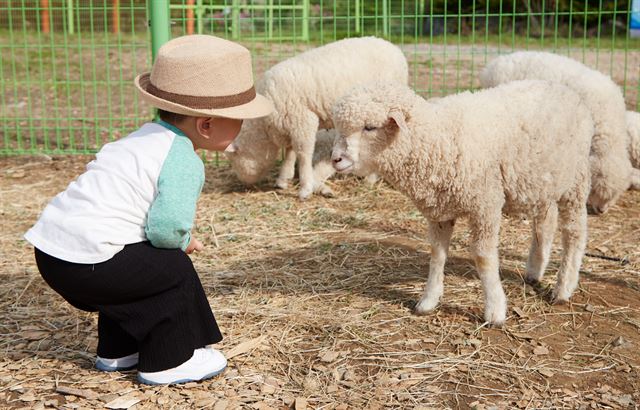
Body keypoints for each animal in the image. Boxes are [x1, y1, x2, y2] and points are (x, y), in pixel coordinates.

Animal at [224, 36, 404, 199]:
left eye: (233, 159)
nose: (243, 182)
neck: (264, 126)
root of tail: (394, 48)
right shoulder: (291, 124)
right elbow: (290, 152)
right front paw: (283, 179)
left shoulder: (304, 120)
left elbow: (303, 154)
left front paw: (305, 189)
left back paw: (370, 179)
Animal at [330, 81, 596, 324]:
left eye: (370, 127)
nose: (336, 159)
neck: (438, 138)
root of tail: (564, 88)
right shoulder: (439, 211)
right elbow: (437, 254)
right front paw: (428, 300)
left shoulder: (485, 204)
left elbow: (483, 257)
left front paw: (495, 310)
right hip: (541, 183)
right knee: (545, 223)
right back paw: (534, 271)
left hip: (575, 180)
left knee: (574, 233)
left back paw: (563, 288)